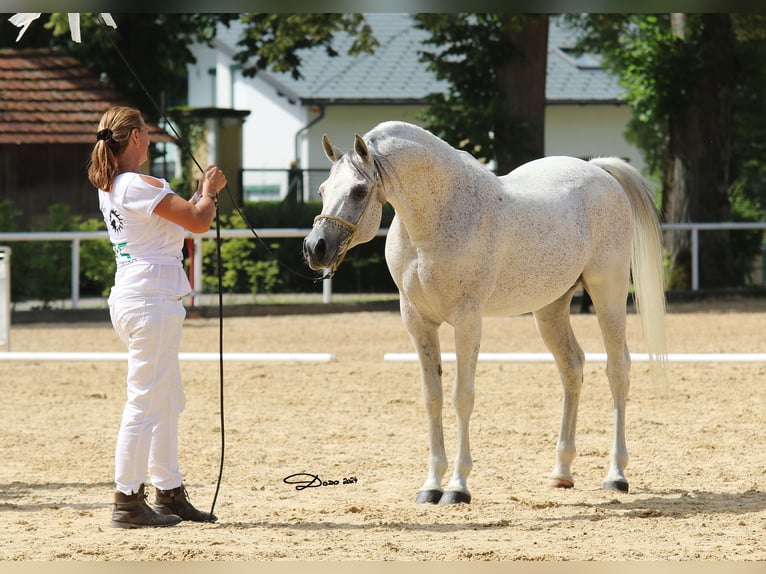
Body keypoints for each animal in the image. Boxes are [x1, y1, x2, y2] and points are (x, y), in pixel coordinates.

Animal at [303, 121, 667, 505]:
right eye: (323, 189)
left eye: (359, 191)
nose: (315, 248)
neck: (438, 218)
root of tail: (598, 170)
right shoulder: (417, 322)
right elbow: (432, 398)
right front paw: (431, 485)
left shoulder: (467, 320)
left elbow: (462, 396)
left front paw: (457, 487)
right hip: (550, 308)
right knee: (572, 369)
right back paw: (561, 473)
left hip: (607, 293)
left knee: (617, 370)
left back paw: (616, 475)